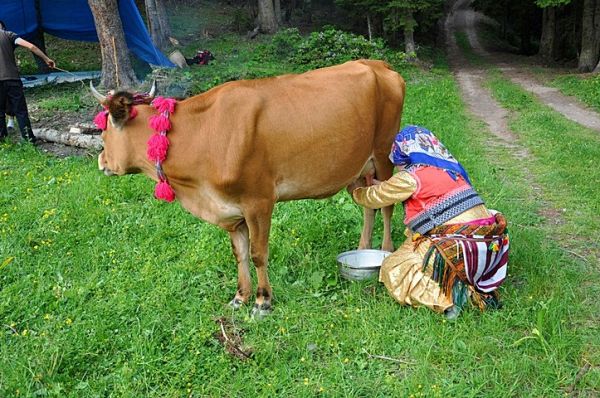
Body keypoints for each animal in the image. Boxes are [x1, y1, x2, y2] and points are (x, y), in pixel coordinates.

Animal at [91, 59, 406, 318]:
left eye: (103, 129)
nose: (101, 160)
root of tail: (377, 65)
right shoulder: (230, 209)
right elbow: (239, 253)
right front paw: (240, 297)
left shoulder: (259, 201)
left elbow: (257, 253)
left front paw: (262, 301)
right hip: (359, 167)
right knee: (368, 205)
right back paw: (363, 248)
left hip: (383, 154)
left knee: (387, 205)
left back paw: (384, 251)